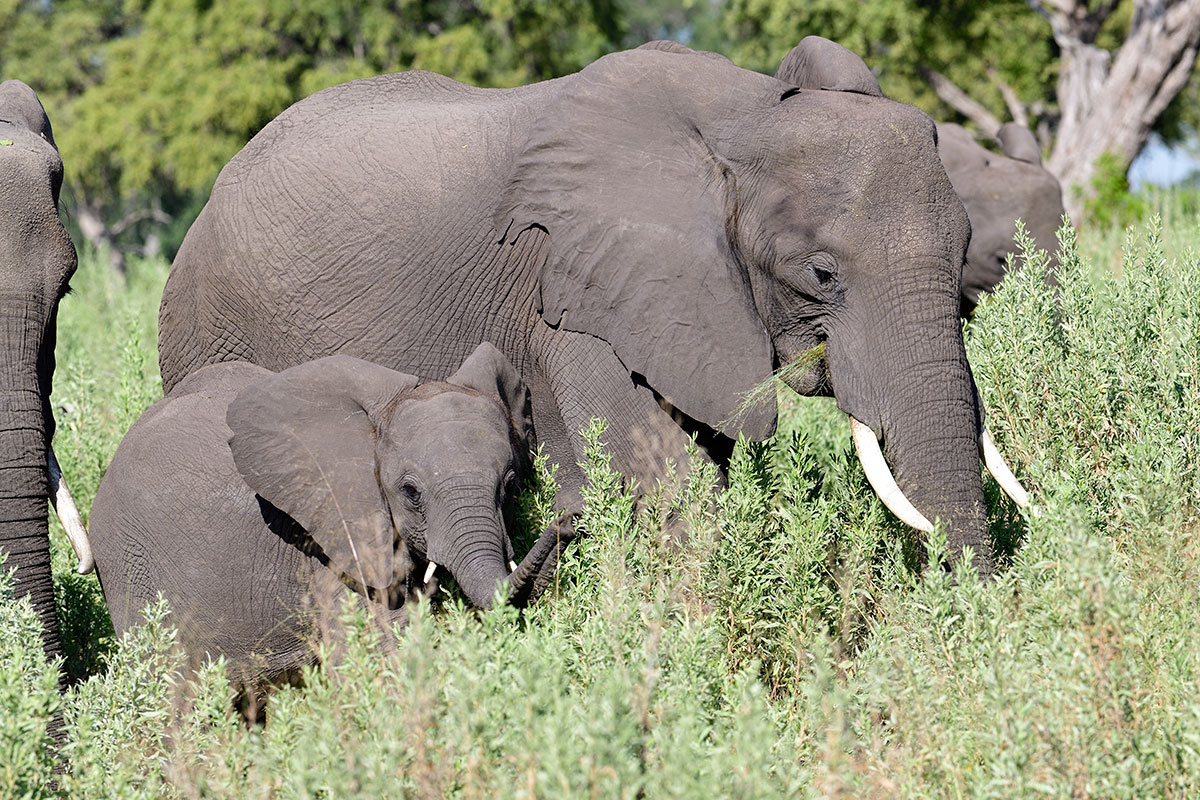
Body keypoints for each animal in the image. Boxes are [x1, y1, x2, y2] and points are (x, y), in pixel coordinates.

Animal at [156, 39, 1031, 578]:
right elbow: (670, 480)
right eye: (820, 273)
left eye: (967, 253)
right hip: (204, 326)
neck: (744, 113)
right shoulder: (581, 289)